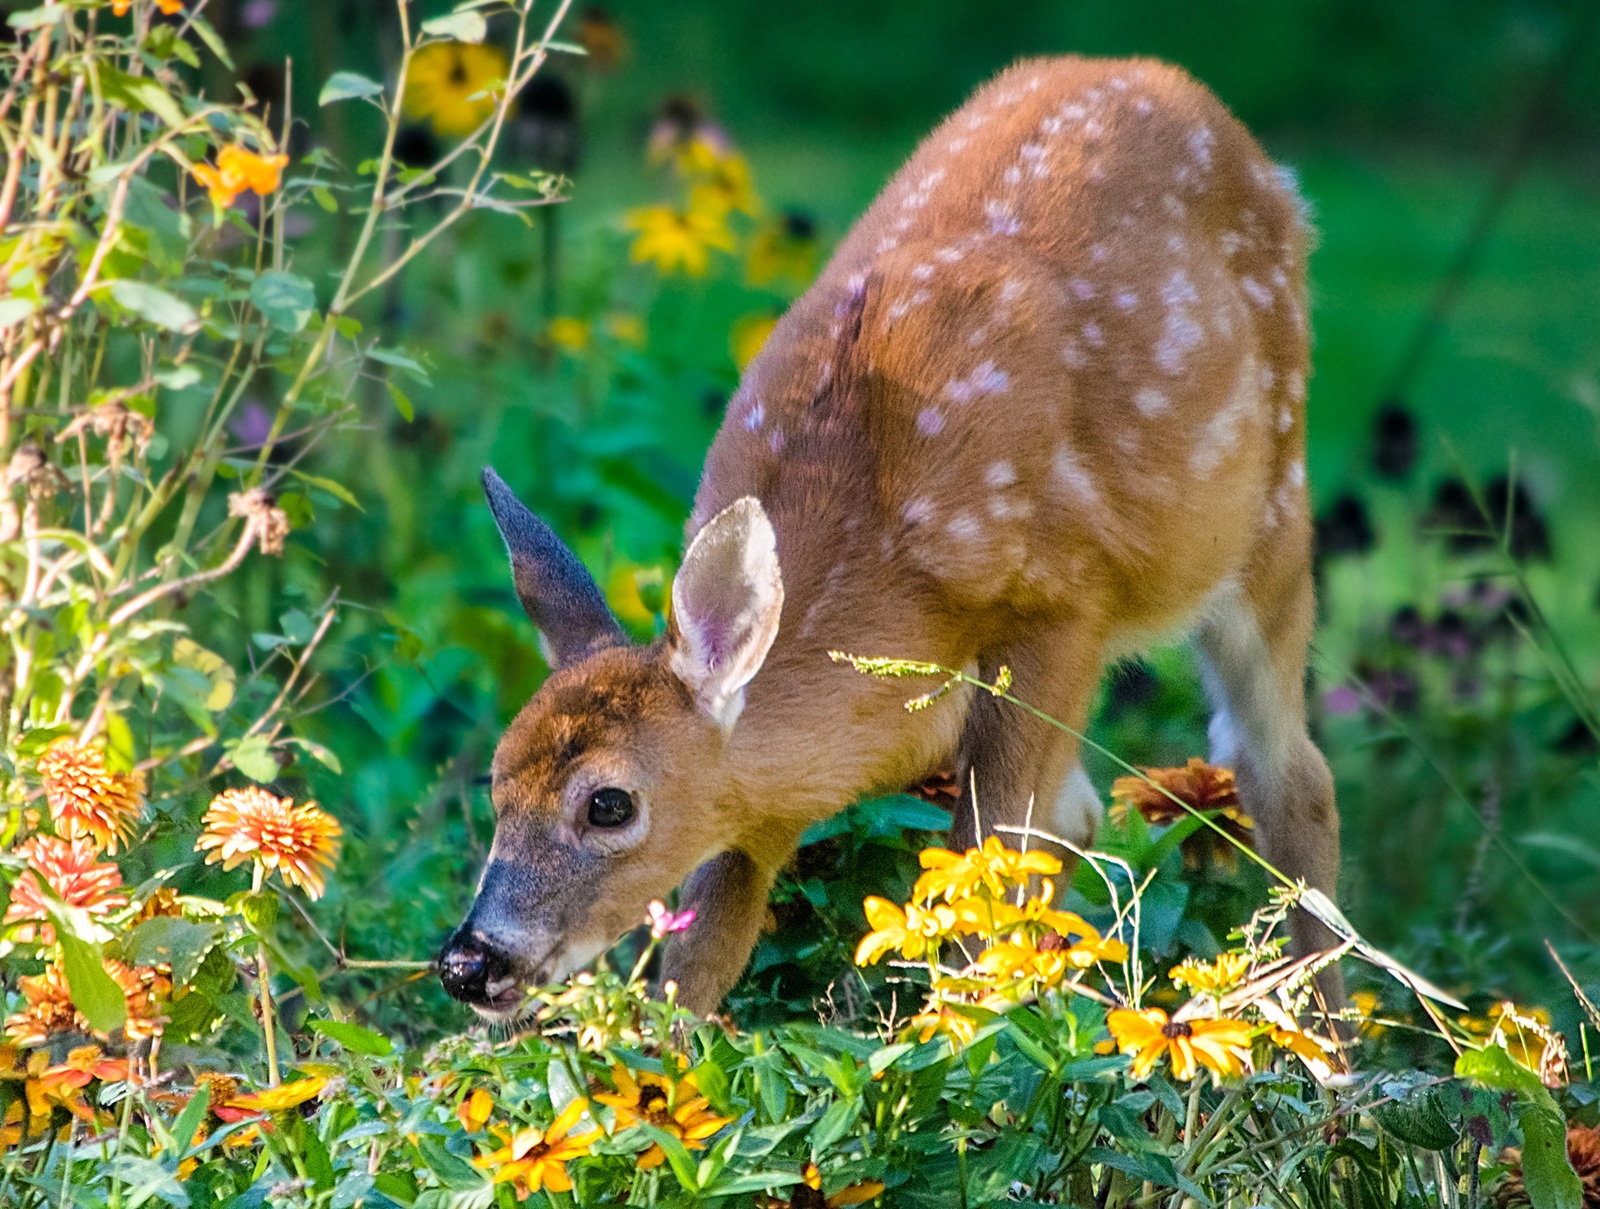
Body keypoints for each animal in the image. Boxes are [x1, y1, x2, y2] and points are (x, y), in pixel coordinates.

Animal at [438, 55, 1342, 1021]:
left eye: (609, 803)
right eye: (496, 781)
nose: (469, 961)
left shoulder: (1064, 604)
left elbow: (985, 859)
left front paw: (965, 1034)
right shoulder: (763, 796)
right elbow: (708, 947)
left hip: (1273, 512)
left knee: (1287, 774)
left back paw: (1329, 1037)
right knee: (1091, 814)